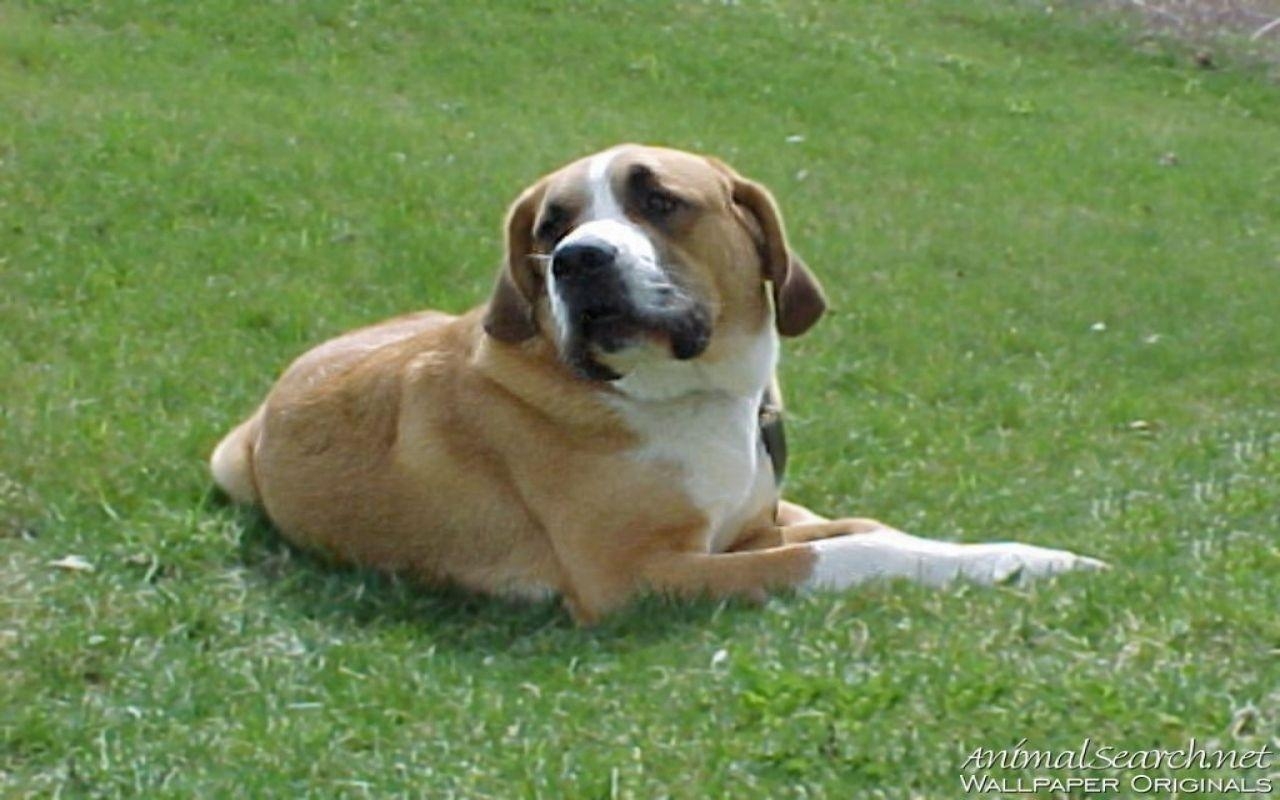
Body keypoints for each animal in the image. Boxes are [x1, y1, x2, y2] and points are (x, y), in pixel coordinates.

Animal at [209, 145, 1100, 624]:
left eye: (661, 200)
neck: (697, 395)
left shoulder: (754, 524)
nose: (577, 262)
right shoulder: (640, 576)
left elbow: (870, 528)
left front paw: (1029, 558)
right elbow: (845, 555)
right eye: (551, 226)